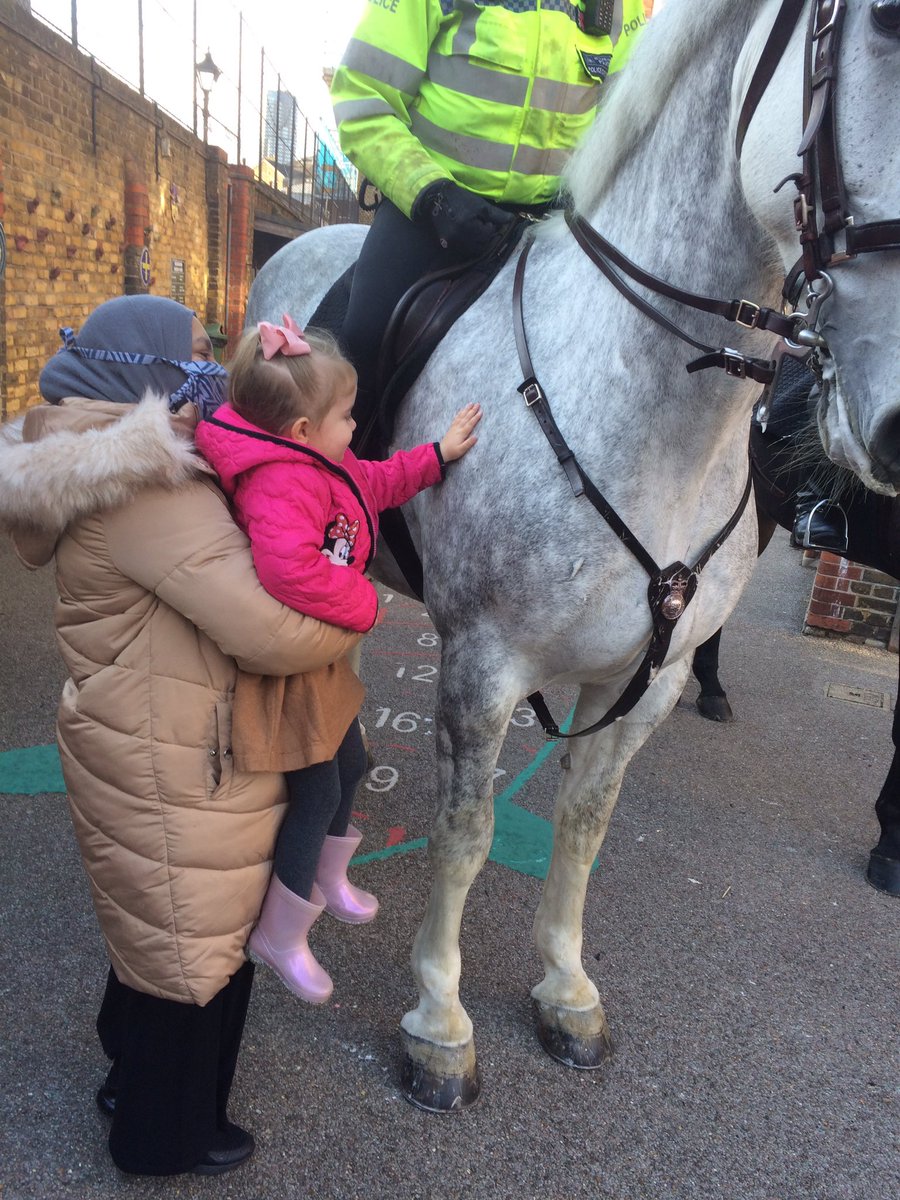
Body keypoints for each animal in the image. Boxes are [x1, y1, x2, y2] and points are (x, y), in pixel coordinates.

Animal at [246, 0, 900, 1110]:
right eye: (886, 25)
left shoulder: (651, 676)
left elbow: (586, 824)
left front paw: (565, 988)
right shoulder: (485, 663)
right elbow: (465, 836)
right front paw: (439, 1022)